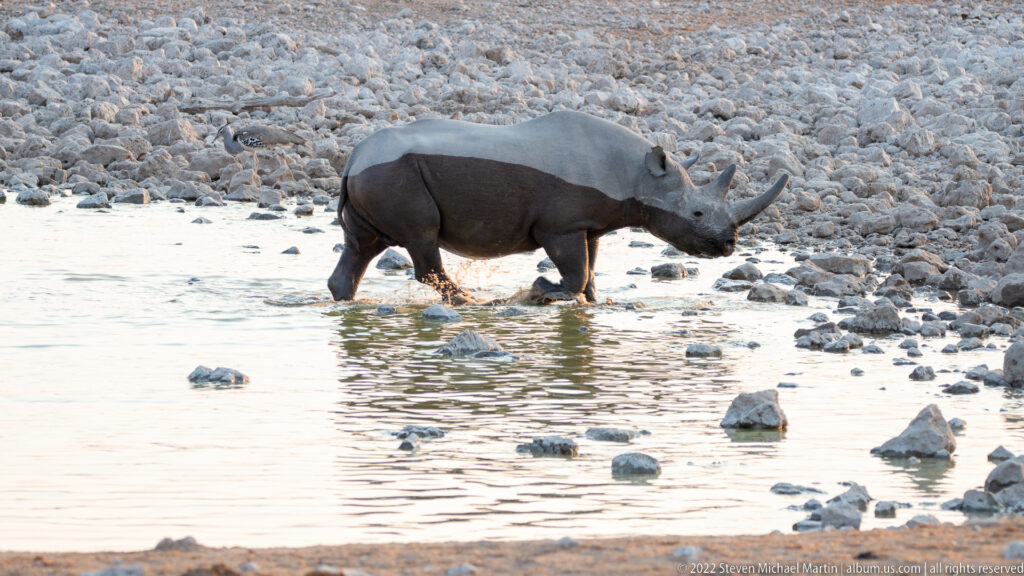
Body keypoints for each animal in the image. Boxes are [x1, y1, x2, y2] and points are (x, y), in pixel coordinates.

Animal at [328, 110, 788, 304]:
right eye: (696, 214)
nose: (728, 246)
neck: (639, 176)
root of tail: (353, 157)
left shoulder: (590, 223)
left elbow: (590, 268)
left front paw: (590, 302)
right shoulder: (560, 225)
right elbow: (575, 268)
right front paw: (542, 290)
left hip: (374, 176)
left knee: (362, 245)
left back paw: (344, 300)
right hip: (394, 176)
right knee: (421, 238)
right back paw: (471, 302)